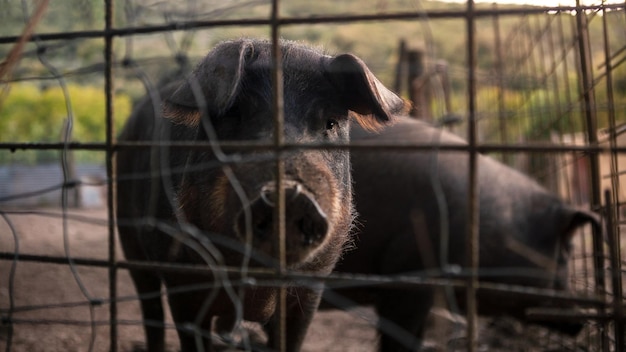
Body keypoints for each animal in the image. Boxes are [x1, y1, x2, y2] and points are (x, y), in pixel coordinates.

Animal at [116, 39, 404, 352]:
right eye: (234, 115)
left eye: (330, 123)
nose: (289, 194)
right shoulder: (181, 281)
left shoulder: (311, 288)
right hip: (129, 240)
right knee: (150, 308)